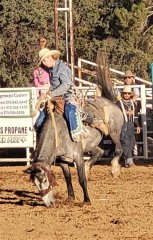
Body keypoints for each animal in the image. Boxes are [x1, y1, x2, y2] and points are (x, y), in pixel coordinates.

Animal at [24, 50, 124, 206]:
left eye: (45, 180)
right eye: (35, 184)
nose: (48, 204)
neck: (58, 133)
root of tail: (110, 101)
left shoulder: (77, 155)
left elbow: (81, 179)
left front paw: (87, 200)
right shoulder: (62, 161)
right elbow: (68, 178)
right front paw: (70, 197)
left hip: (114, 132)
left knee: (119, 148)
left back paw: (114, 169)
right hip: (92, 144)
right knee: (100, 152)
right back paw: (89, 168)